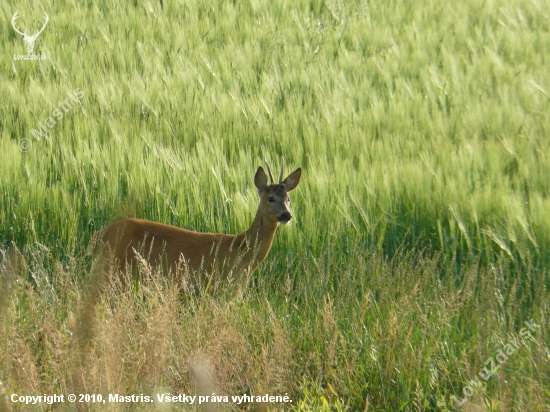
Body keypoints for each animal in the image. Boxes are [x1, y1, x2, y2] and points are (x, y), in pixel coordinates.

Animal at [101, 159, 304, 288]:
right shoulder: (218, 285)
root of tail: (101, 234)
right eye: (270, 198)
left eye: (288, 198)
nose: (287, 215)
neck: (242, 249)